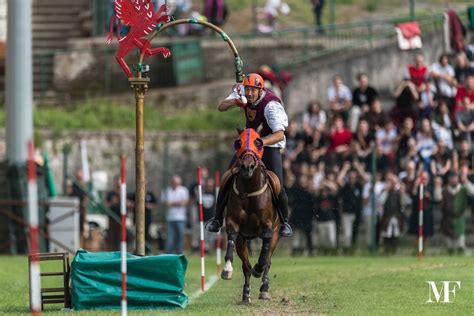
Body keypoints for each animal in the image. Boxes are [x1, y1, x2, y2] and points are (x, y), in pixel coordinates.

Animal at [220, 128, 280, 304]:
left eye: (258, 142)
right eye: (238, 142)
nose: (247, 167)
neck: (249, 189)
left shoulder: (268, 226)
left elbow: (264, 255)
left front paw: (258, 269)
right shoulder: (233, 223)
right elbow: (231, 237)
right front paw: (227, 270)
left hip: (277, 233)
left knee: (268, 260)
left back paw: (264, 288)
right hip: (243, 239)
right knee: (246, 266)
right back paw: (246, 294)